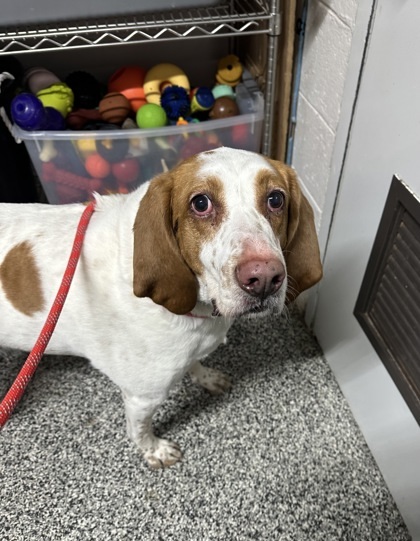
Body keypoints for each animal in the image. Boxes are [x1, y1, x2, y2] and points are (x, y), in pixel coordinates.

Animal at [0, 146, 322, 466]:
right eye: (200, 203)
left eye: (276, 199)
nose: (264, 278)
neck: (198, 310)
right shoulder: (142, 397)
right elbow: (139, 430)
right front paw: (154, 450)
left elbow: (195, 363)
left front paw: (206, 377)